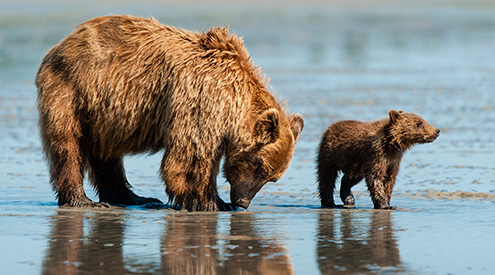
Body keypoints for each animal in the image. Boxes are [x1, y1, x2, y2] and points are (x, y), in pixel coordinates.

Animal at [35, 15, 302, 212]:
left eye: (272, 177)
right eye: (260, 168)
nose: (242, 203)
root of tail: (61, 44)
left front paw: (218, 201)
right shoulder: (199, 99)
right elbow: (192, 155)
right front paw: (208, 202)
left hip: (104, 114)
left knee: (106, 155)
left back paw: (133, 197)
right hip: (73, 90)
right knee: (68, 145)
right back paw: (83, 200)